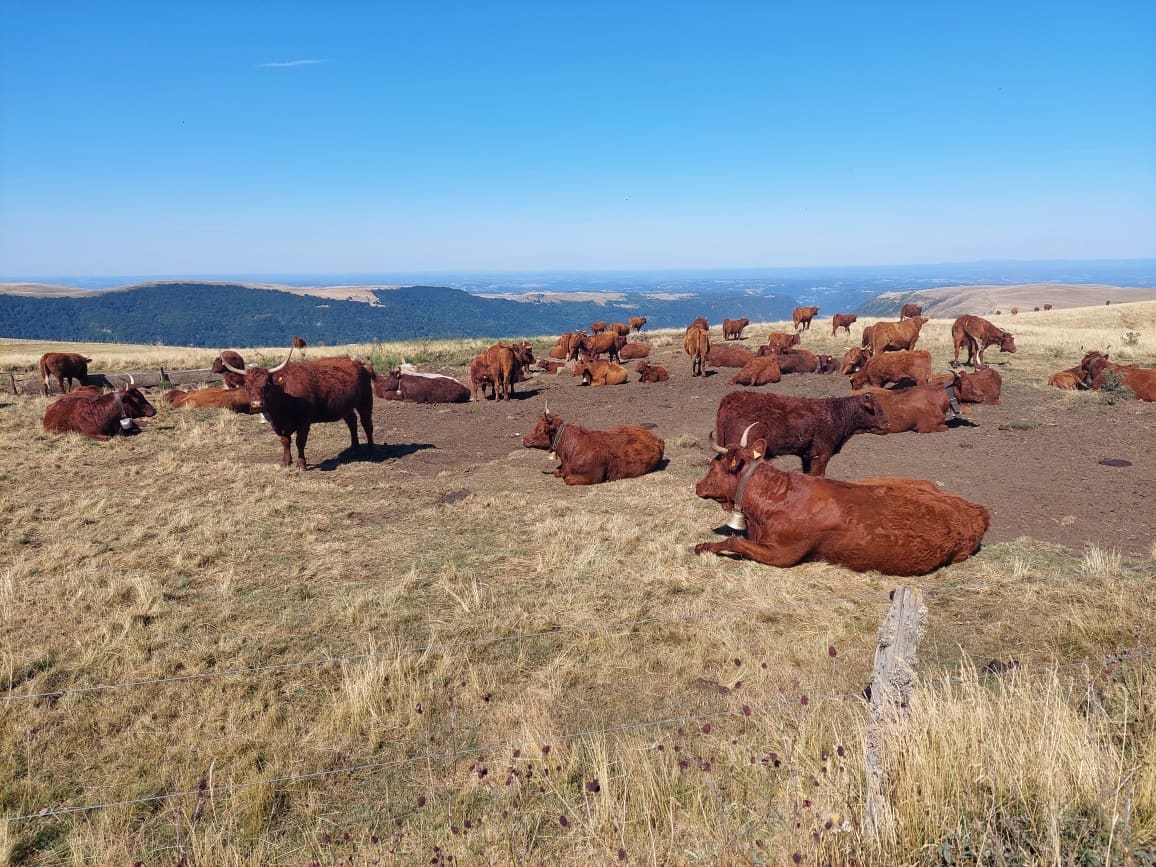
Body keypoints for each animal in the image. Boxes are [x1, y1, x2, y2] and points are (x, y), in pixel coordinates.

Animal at [220, 348, 375, 468]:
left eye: (267, 385)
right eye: (247, 386)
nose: (257, 404)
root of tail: (360, 363)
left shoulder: (304, 422)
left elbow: (300, 442)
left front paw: (301, 464)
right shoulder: (277, 423)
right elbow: (285, 441)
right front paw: (286, 462)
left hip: (365, 402)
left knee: (367, 424)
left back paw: (370, 450)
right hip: (345, 406)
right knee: (352, 422)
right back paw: (354, 447)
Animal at [522, 405, 664, 485]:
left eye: (540, 430)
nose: (523, 439)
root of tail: (657, 438)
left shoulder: (593, 476)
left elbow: (567, 479)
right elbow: (557, 472)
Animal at [693, 429, 989, 575]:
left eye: (713, 466)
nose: (697, 486)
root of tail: (977, 510)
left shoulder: (784, 554)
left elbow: (734, 542)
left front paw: (703, 546)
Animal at [714, 390, 888, 476]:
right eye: (875, 410)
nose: (887, 423)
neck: (835, 414)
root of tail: (729, 398)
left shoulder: (807, 456)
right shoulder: (821, 456)